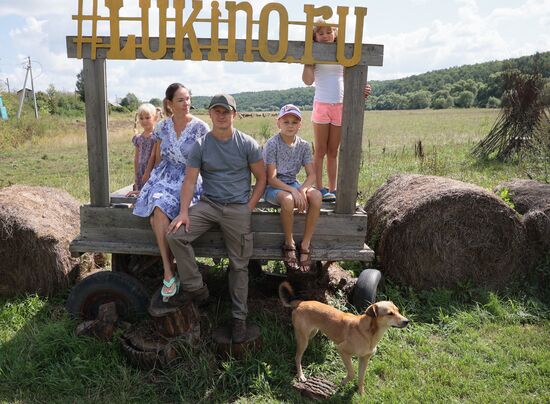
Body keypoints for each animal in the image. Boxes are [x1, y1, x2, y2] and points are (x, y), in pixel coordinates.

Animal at [280, 280, 410, 394]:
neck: (369, 333)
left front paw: (361, 393)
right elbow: (352, 373)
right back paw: (301, 375)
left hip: (311, 333)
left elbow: (361, 377)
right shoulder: (342, 350)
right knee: (297, 357)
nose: (407, 321)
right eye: (390, 314)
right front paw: (342, 383)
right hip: (303, 339)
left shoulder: (364, 358)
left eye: (398, 311)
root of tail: (300, 303)